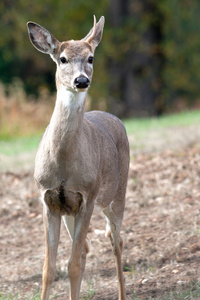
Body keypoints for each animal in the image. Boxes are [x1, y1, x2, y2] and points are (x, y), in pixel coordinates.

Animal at [26, 15, 130, 300]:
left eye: (91, 57)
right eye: (62, 59)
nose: (81, 81)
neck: (63, 165)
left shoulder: (88, 197)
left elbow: (72, 266)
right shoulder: (48, 199)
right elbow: (49, 268)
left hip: (117, 193)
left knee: (116, 240)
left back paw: (122, 293)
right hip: (71, 213)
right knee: (85, 248)